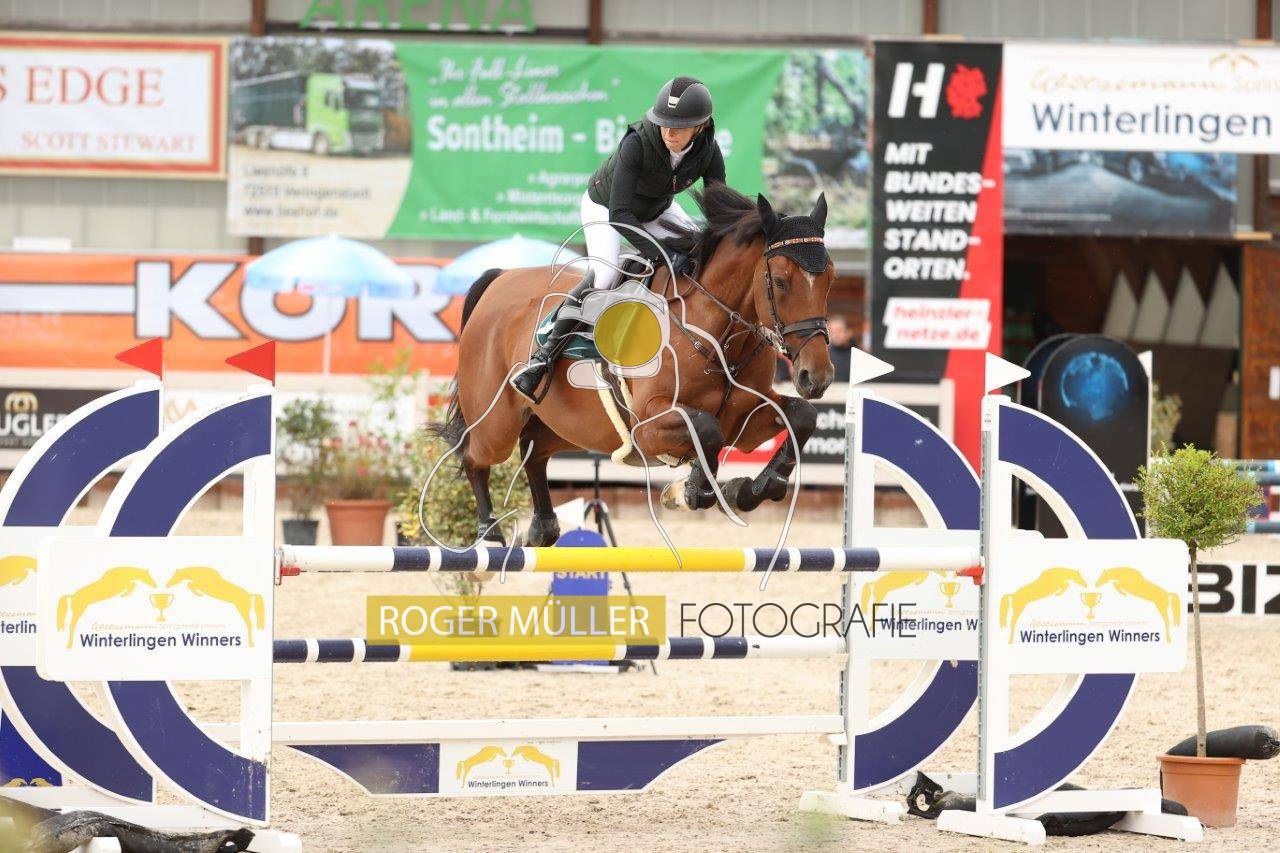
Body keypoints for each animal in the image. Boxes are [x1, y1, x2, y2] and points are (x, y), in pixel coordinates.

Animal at [434, 185, 835, 548]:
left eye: (830, 278)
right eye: (780, 282)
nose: (817, 377)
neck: (715, 333)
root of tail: (500, 279)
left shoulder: (745, 420)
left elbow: (802, 417)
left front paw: (752, 489)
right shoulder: (648, 426)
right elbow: (707, 429)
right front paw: (692, 492)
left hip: (566, 424)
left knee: (534, 449)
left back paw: (542, 528)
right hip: (497, 422)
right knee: (475, 456)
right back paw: (489, 536)